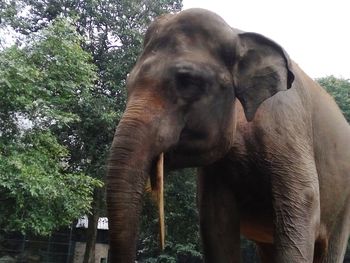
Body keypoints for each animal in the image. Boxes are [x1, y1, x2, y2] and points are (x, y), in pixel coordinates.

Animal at [106, 8, 350, 263]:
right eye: (128, 83)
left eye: (188, 81)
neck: (238, 35)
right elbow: (216, 222)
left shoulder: (287, 127)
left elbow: (301, 203)